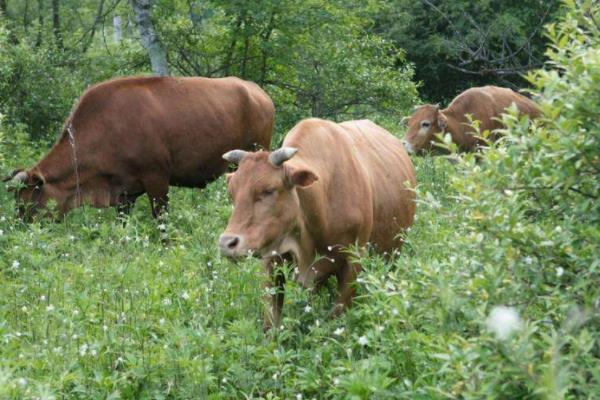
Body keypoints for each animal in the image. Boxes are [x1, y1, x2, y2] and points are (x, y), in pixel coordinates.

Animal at [2, 75, 274, 219]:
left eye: (27, 203)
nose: (20, 226)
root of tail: (258, 92)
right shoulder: (124, 193)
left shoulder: (157, 180)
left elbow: (161, 219)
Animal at [217, 117, 418, 330]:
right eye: (232, 193)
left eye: (269, 190)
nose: (226, 243)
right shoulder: (270, 261)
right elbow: (271, 321)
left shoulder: (354, 261)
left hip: (392, 255)